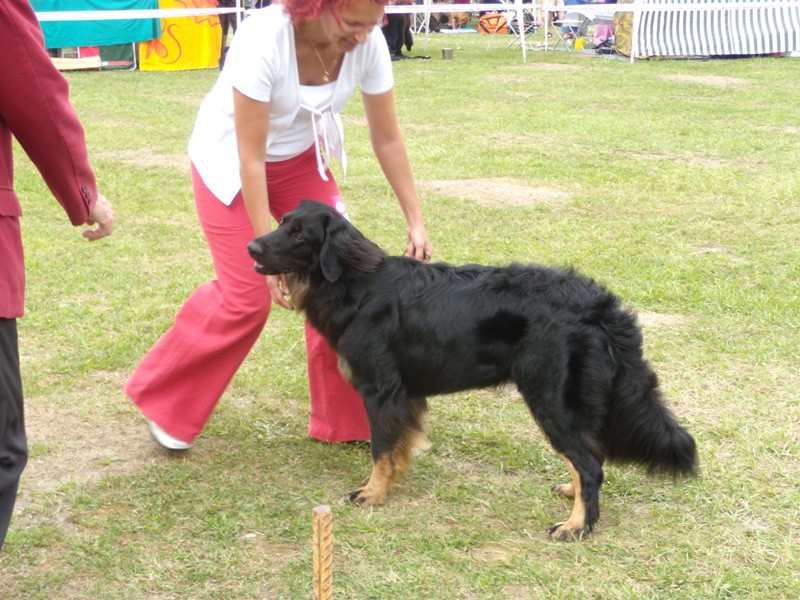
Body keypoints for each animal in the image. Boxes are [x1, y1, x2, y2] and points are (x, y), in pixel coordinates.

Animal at [247, 203, 696, 544]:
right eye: (282, 221)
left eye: (300, 235)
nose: (251, 246)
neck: (355, 283)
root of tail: (599, 303)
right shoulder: (404, 395)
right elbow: (398, 447)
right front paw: (394, 478)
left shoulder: (381, 390)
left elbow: (380, 449)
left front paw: (373, 493)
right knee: (589, 457)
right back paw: (574, 496)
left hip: (549, 398)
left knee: (590, 464)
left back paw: (576, 526)